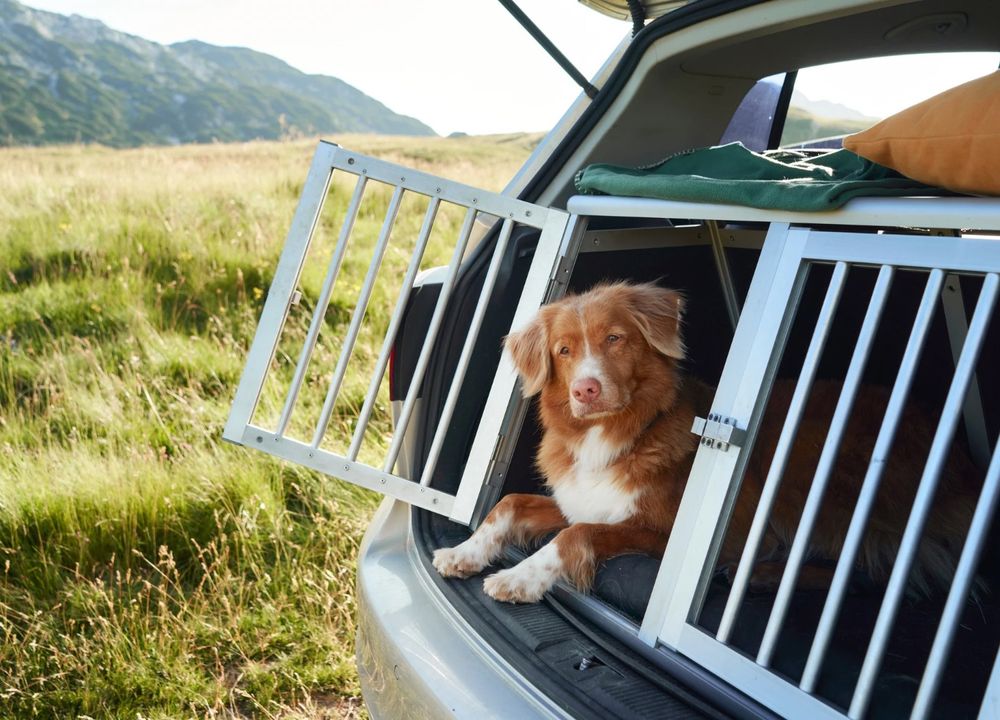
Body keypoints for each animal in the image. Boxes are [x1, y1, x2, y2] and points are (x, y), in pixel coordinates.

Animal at [432, 282, 976, 600]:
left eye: (615, 338)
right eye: (564, 351)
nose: (585, 389)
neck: (620, 433)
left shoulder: (661, 530)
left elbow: (576, 535)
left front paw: (519, 577)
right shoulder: (580, 500)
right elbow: (509, 502)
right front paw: (467, 551)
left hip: (808, 467)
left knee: (866, 571)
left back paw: (754, 572)